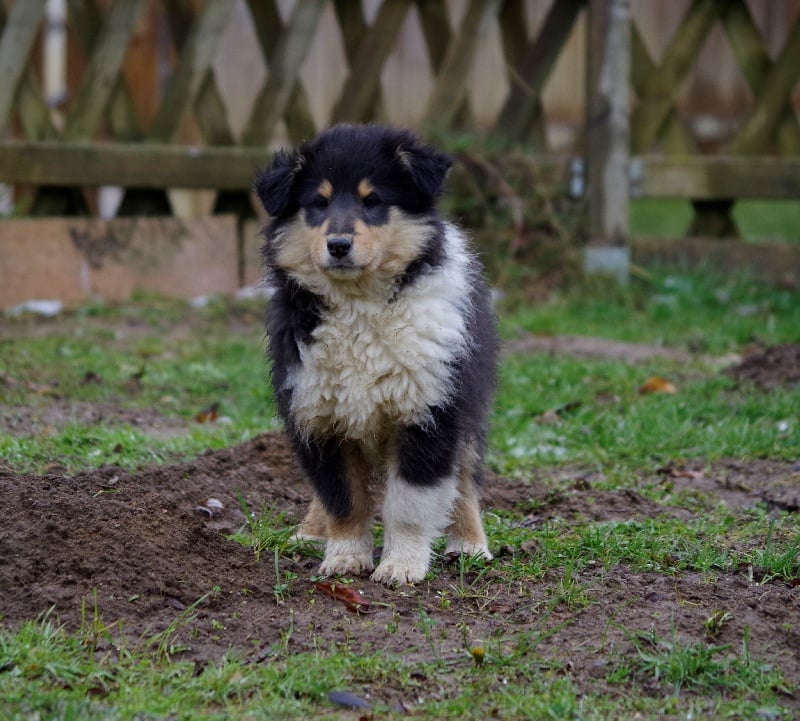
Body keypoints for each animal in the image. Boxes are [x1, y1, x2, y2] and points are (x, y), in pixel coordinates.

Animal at [255, 124, 494, 584]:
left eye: (373, 201)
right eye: (318, 203)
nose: (338, 244)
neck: (359, 306)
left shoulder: (429, 413)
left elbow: (409, 504)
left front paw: (401, 566)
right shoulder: (318, 414)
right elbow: (343, 498)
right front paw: (345, 558)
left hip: (467, 403)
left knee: (465, 478)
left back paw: (469, 545)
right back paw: (310, 532)